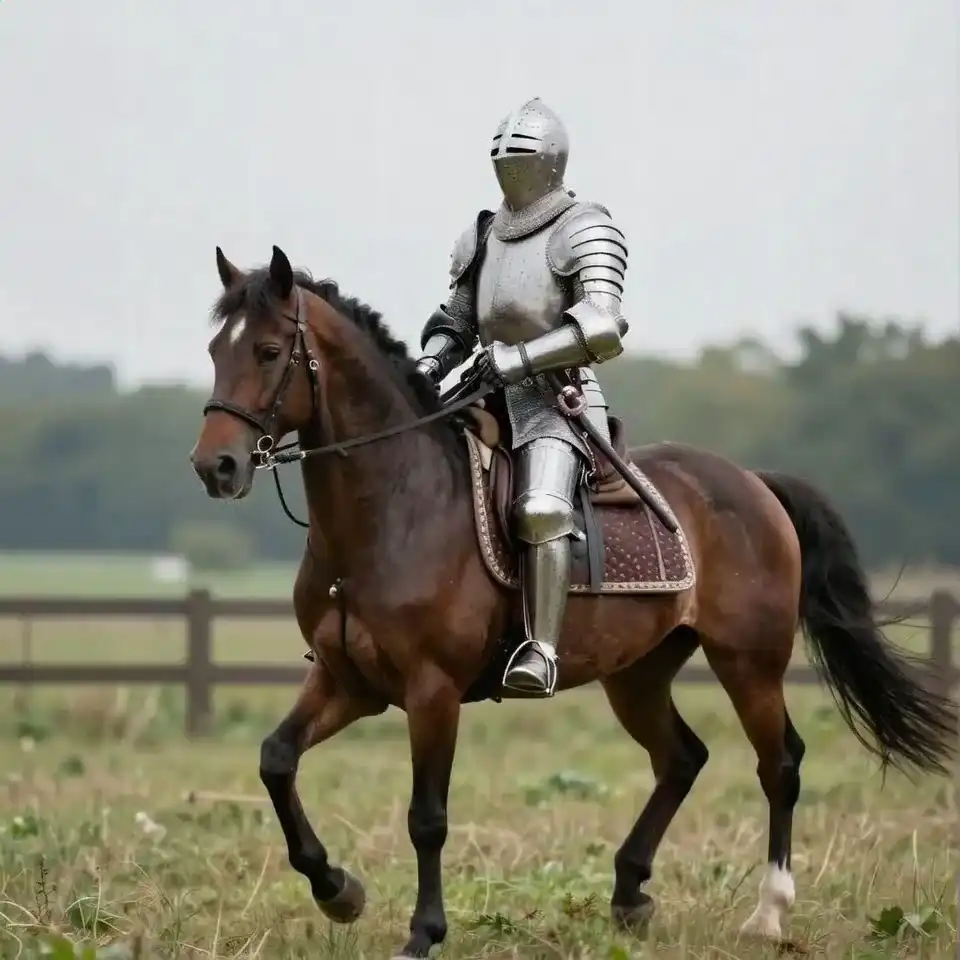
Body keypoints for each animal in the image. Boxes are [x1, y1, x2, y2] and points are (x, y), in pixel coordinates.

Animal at [189, 245, 956, 959]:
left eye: (267, 351)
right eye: (215, 351)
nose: (214, 466)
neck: (395, 508)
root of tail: (753, 483)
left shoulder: (431, 692)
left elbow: (427, 817)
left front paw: (422, 931)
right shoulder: (348, 681)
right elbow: (276, 759)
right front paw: (337, 890)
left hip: (750, 664)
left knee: (781, 765)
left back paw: (768, 913)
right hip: (638, 675)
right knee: (683, 758)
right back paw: (629, 893)